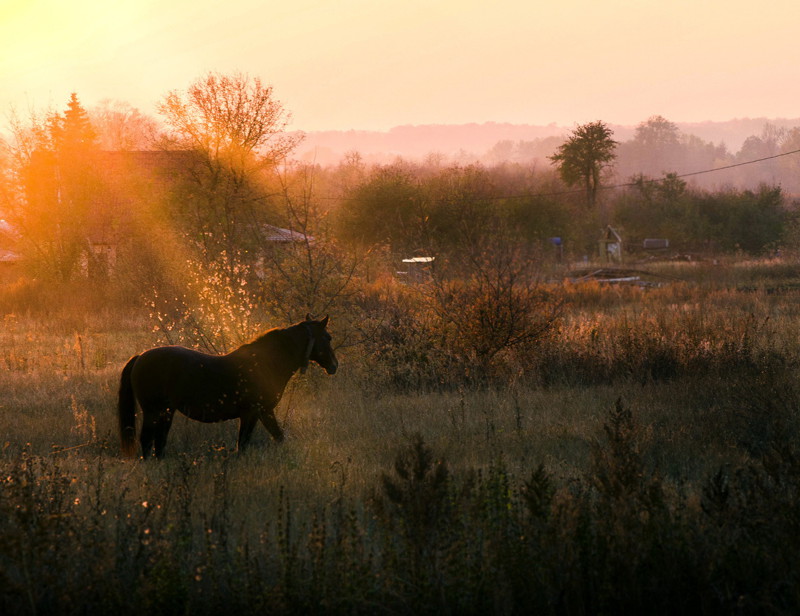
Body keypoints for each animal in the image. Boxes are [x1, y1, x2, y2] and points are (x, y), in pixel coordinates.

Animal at [117, 318, 336, 458]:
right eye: (327, 337)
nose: (334, 365)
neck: (266, 363)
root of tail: (141, 357)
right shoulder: (257, 411)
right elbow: (249, 442)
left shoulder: (259, 413)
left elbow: (269, 438)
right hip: (154, 412)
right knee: (147, 440)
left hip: (166, 412)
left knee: (159, 442)